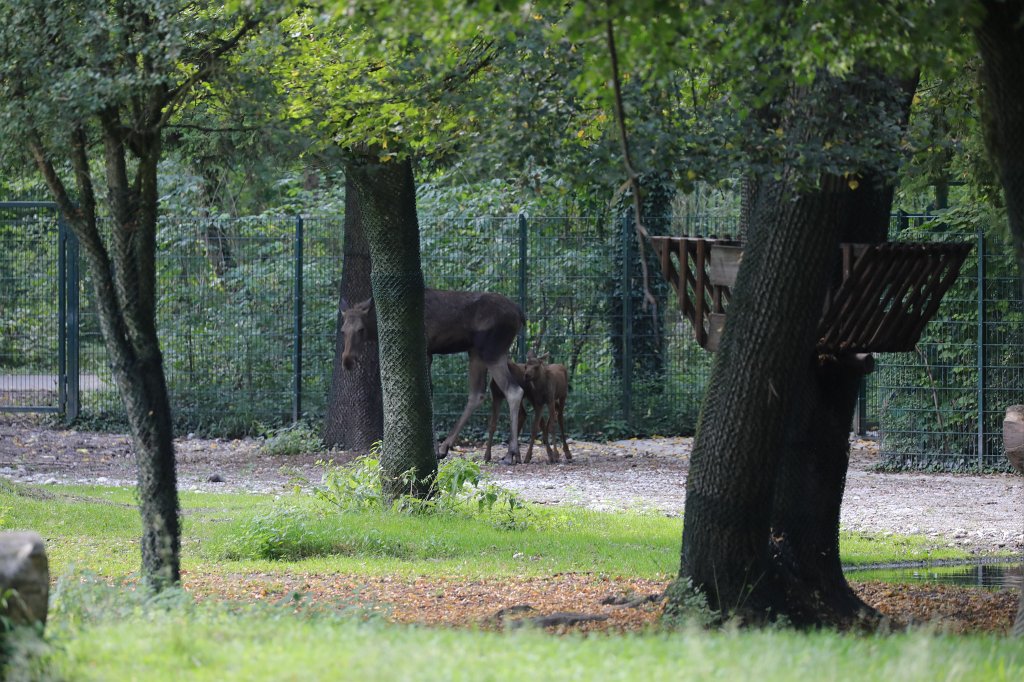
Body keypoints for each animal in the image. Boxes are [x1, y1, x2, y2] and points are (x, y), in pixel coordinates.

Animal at [340, 289, 526, 465]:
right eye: (342, 331)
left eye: (361, 329)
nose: (347, 360)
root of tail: (520, 313)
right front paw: (435, 448)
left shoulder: (426, 352)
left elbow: (428, 394)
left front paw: (432, 448)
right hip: (476, 352)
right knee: (478, 394)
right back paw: (448, 447)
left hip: (491, 351)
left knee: (513, 390)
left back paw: (511, 453)